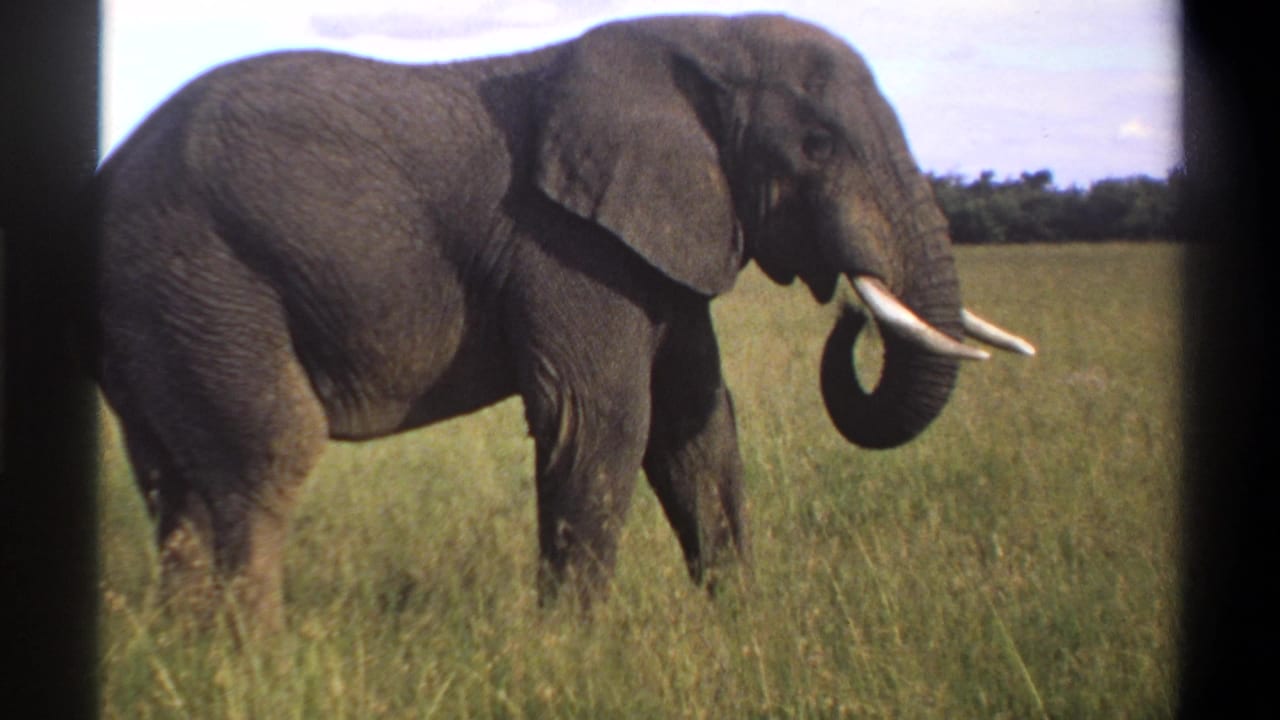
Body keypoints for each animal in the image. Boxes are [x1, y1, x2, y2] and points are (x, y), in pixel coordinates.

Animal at [85, 13, 1034, 629]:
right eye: (818, 147)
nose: (848, 310)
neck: (702, 40)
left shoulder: (656, 244)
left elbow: (697, 430)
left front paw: (741, 626)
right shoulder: (565, 245)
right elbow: (602, 422)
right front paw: (574, 653)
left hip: (157, 308)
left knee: (174, 484)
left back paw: (190, 656)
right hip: (201, 273)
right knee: (264, 458)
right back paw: (259, 663)